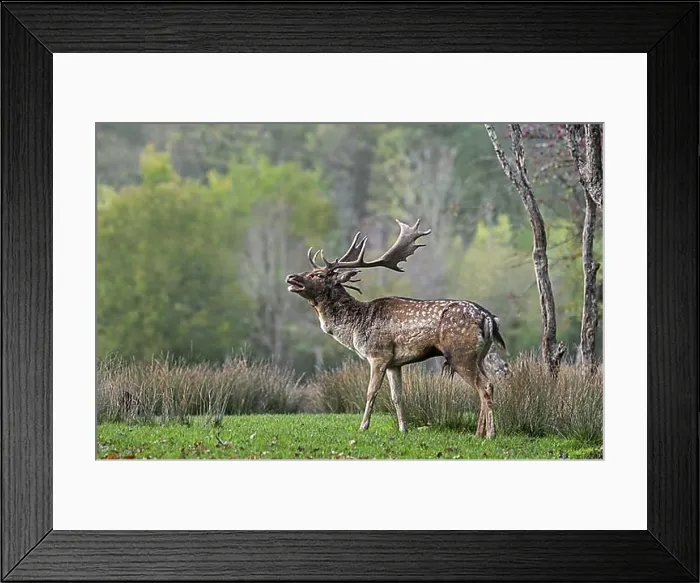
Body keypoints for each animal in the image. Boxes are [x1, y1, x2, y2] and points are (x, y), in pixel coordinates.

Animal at [285, 218, 507, 438]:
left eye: (318, 275)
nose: (291, 277)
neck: (357, 326)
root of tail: (488, 318)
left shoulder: (378, 354)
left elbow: (371, 392)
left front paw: (363, 426)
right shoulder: (394, 363)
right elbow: (397, 396)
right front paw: (403, 428)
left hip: (460, 353)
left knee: (485, 386)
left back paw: (490, 434)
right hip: (479, 355)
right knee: (486, 385)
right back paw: (478, 433)